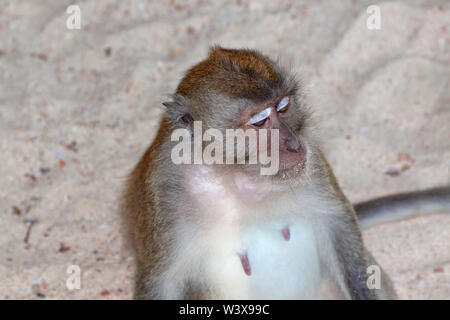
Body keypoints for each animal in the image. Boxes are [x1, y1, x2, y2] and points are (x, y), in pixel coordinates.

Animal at [121, 46, 448, 298]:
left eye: (284, 106)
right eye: (260, 122)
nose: (293, 143)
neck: (234, 175)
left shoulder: (312, 162)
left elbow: (336, 222)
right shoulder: (164, 189)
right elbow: (161, 283)